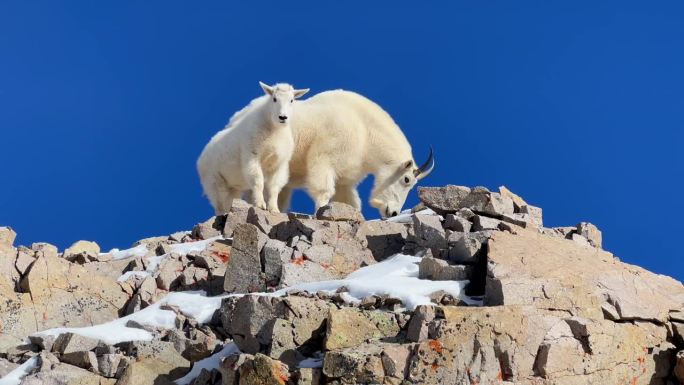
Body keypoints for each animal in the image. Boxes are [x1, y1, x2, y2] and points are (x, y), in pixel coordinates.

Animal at [196, 81, 312, 213]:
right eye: (274, 99)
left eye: (292, 100)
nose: (282, 117)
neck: (274, 130)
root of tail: (201, 158)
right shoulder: (252, 156)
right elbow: (258, 181)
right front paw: (260, 205)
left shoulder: (279, 164)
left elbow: (274, 187)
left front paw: (274, 209)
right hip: (214, 181)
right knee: (220, 204)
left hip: (233, 187)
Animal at [280, 89, 436, 216]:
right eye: (406, 179)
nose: (393, 212)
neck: (365, 131)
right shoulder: (324, 159)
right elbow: (324, 192)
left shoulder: (344, 181)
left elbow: (350, 203)